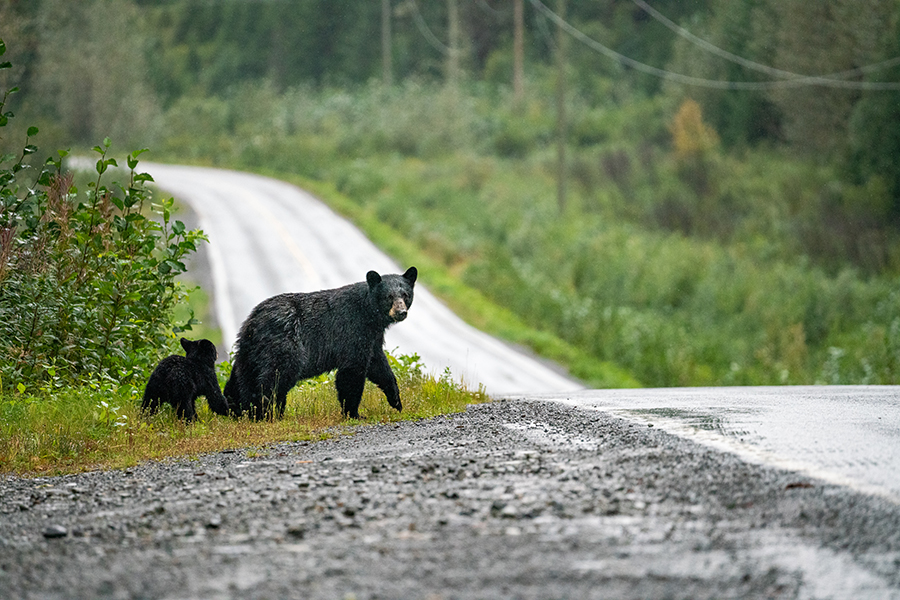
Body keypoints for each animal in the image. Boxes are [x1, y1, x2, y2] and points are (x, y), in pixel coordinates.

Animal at [229, 268, 418, 422]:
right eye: (389, 297)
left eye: (405, 295)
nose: (401, 312)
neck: (370, 314)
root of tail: (253, 320)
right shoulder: (353, 330)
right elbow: (352, 370)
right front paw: (354, 413)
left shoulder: (372, 337)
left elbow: (378, 365)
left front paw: (396, 400)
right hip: (284, 344)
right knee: (275, 377)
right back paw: (266, 413)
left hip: (249, 352)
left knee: (245, 379)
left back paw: (248, 411)